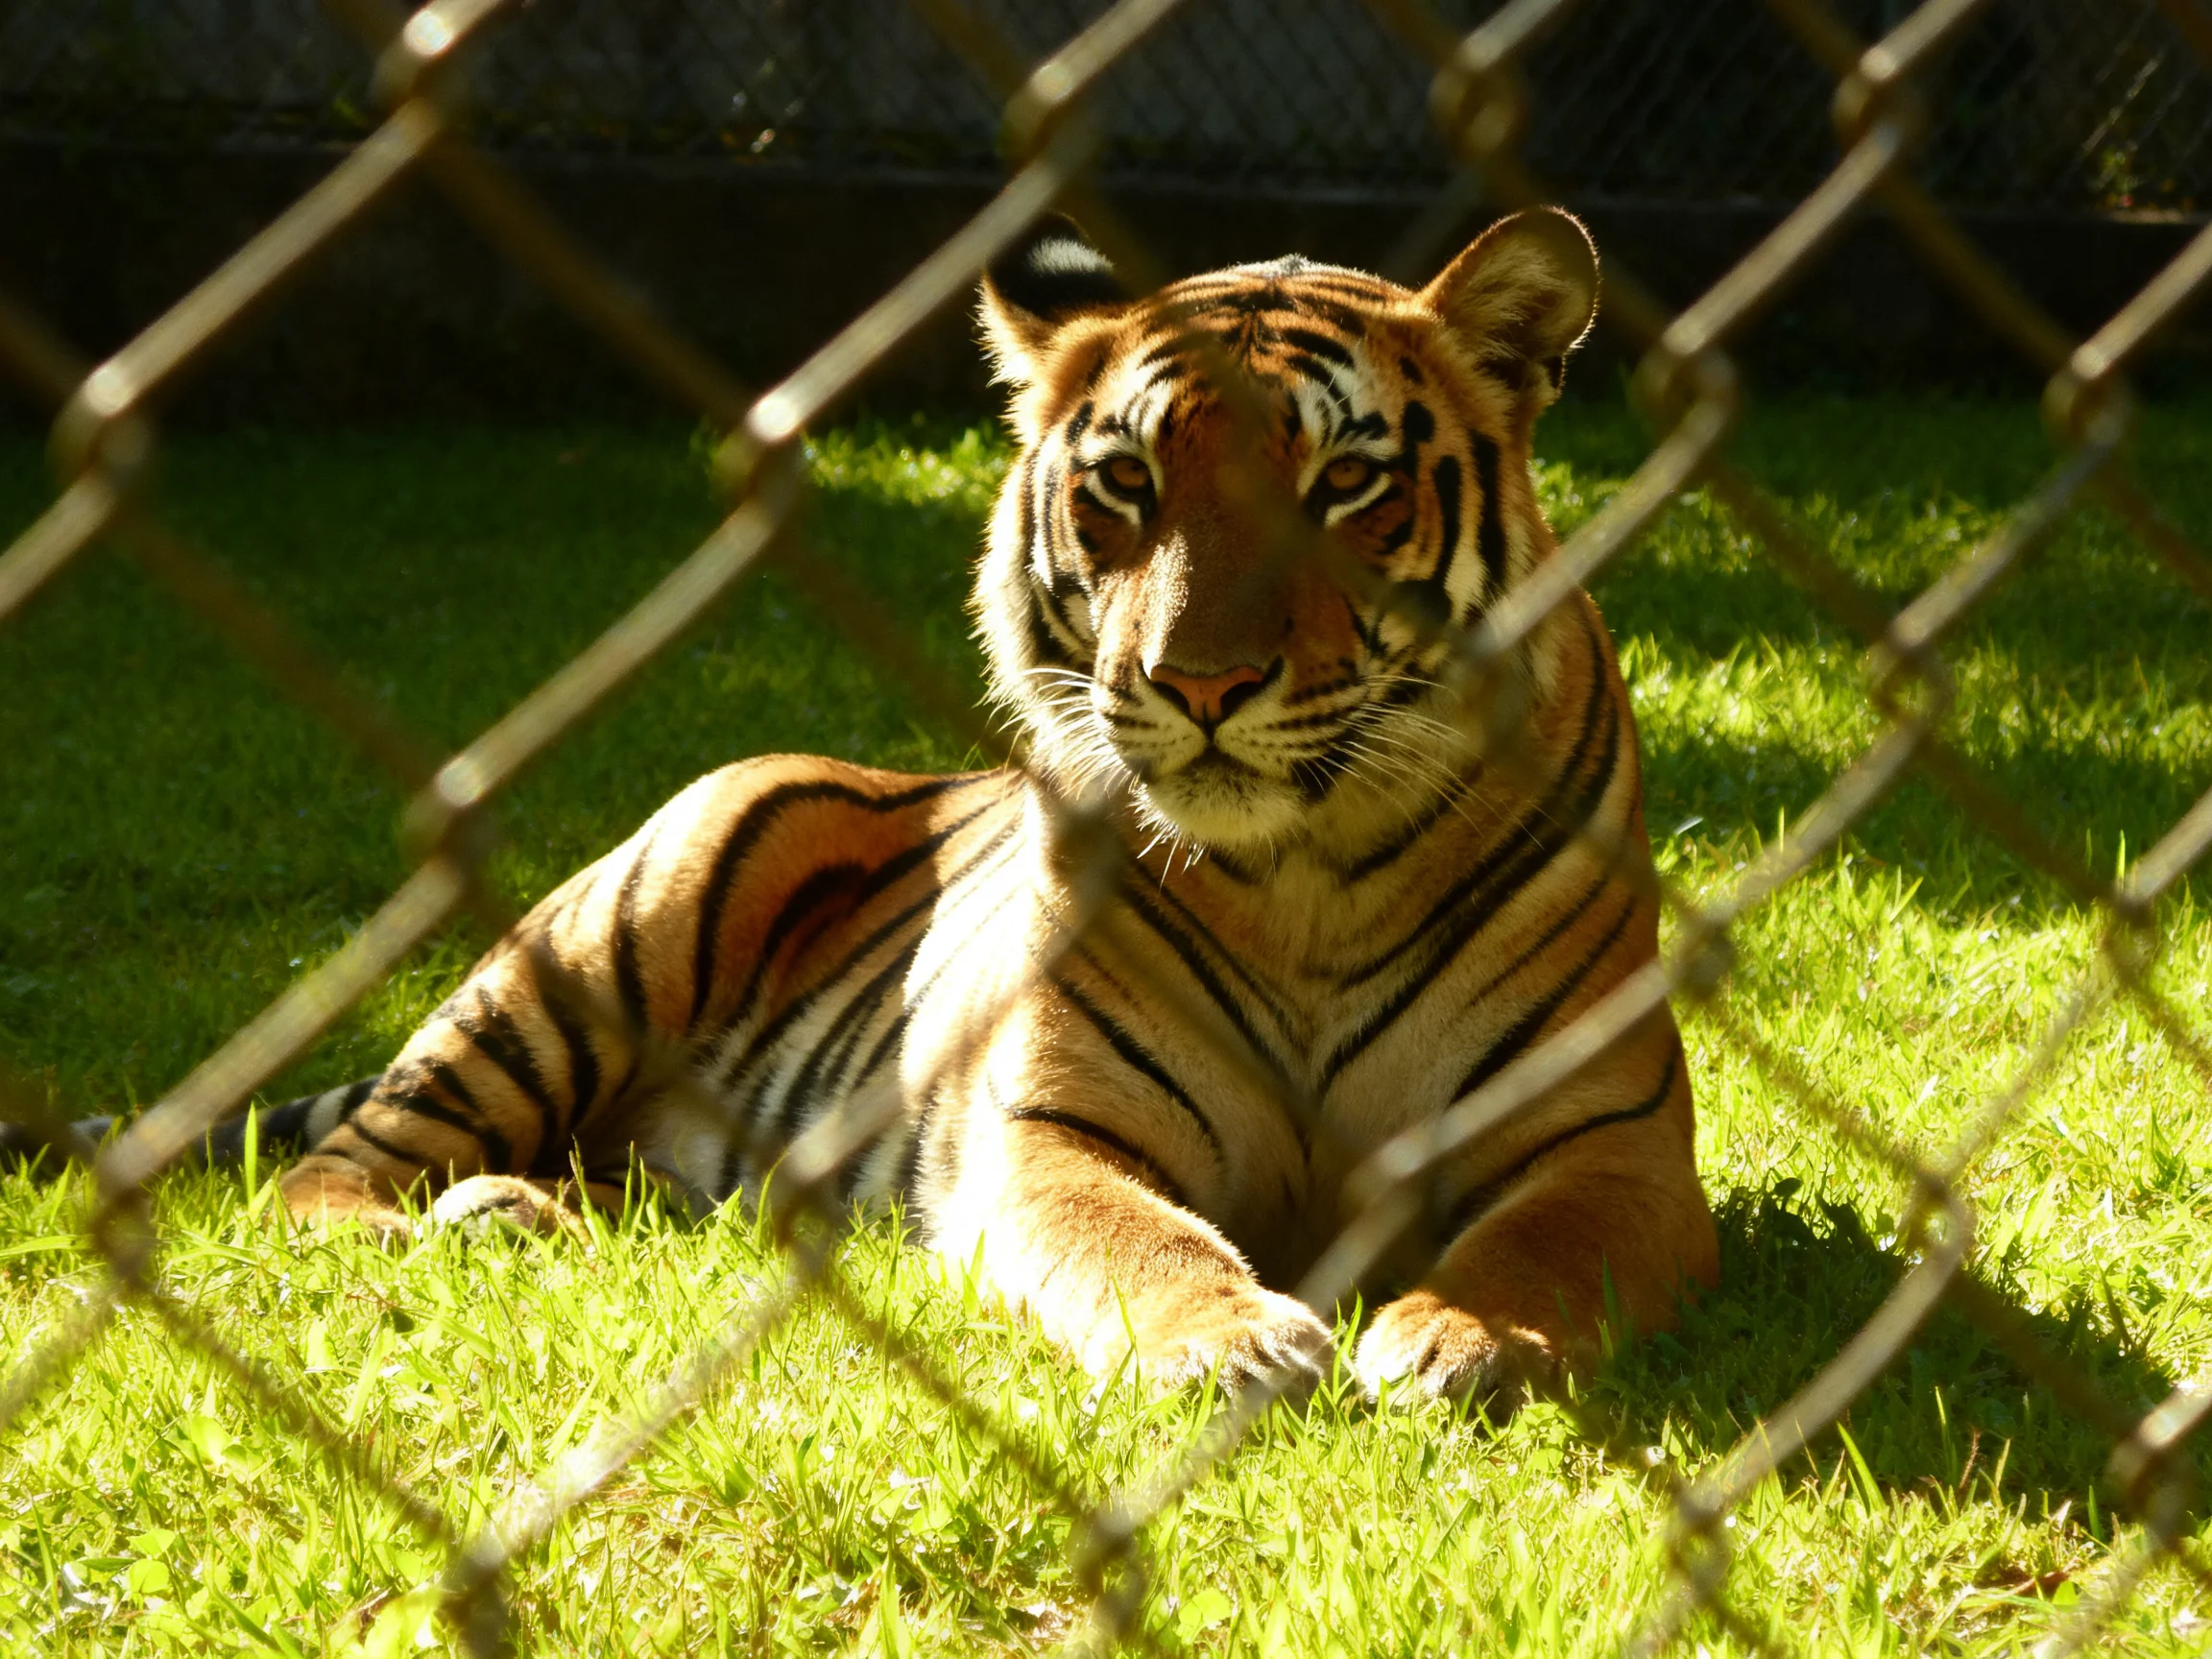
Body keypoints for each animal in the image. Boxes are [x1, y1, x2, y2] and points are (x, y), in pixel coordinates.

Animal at [37, 207, 1720, 1404]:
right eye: (1127, 486)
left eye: (1346, 486)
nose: (1198, 682)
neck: (1303, 872)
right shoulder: (1050, 1129)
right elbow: (1134, 1240)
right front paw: (1230, 1340)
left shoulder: (1613, 1143)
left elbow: (1544, 1249)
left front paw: (1455, 1338)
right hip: (614, 925)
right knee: (338, 1164)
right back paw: (459, 1224)